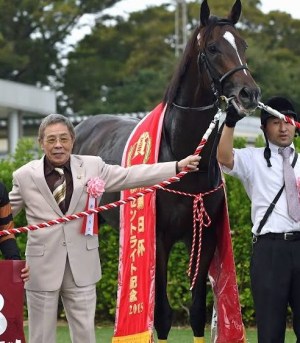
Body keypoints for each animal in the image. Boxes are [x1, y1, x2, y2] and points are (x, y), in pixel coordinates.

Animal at [72, 0, 260, 342]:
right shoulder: (158, 238)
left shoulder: (205, 236)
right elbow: (161, 315)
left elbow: (197, 311)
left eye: (243, 45)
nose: (249, 94)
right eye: (213, 47)